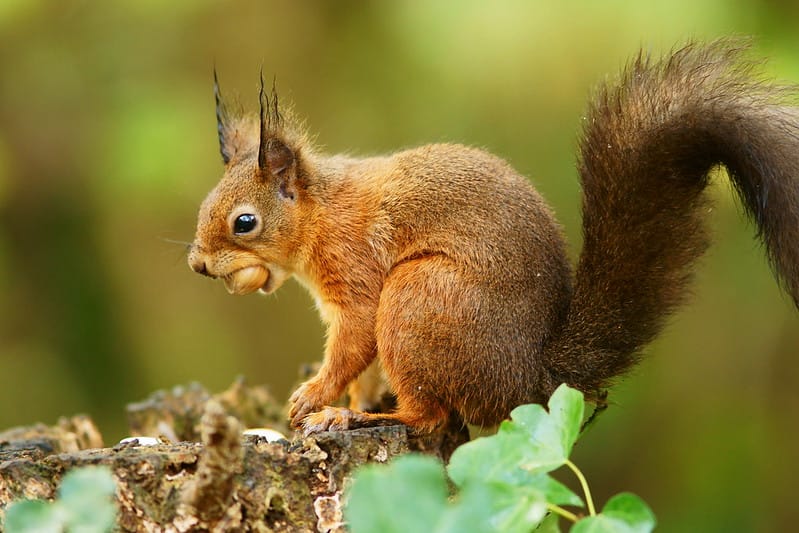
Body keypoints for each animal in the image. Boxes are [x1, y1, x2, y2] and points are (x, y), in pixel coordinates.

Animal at [189, 40, 799, 436]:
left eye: (245, 222)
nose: (197, 265)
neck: (319, 215)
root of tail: (530, 379)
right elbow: (361, 364)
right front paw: (348, 392)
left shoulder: (357, 271)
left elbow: (353, 340)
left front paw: (317, 396)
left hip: (417, 297)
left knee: (428, 416)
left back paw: (363, 417)